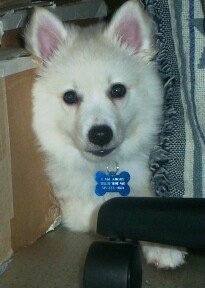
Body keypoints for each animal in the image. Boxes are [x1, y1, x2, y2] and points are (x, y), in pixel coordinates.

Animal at [25, 1, 186, 268]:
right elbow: (102, 213)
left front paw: (163, 245)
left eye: (117, 90)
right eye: (70, 96)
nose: (100, 135)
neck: (105, 168)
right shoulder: (75, 209)